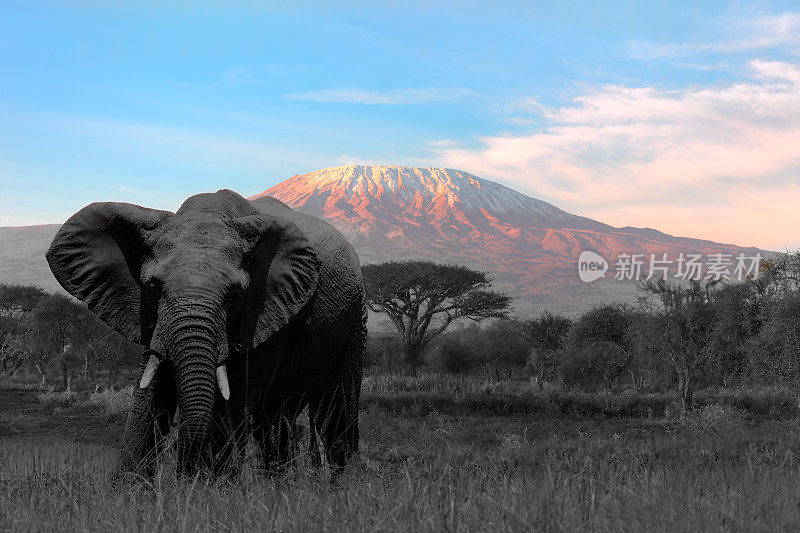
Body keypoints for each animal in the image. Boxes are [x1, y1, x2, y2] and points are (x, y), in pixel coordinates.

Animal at [47, 189, 366, 476]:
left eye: (236, 295)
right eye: (153, 287)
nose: (181, 473)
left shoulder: (265, 311)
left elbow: (233, 398)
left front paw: (209, 490)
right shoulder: (151, 318)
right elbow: (151, 393)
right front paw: (131, 490)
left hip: (354, 315)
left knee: (334, 410)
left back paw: (340, 484)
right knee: (276, 418)